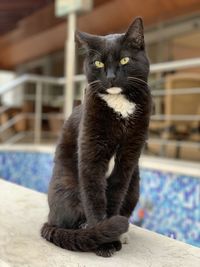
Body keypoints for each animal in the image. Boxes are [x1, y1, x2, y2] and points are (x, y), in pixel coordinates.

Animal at [41, 16, 152, 258]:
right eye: (99, 63)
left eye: (124, 59)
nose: (110, 77)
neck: (120, 106)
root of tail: (49, 219)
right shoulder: (91, 152)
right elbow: (94, 197)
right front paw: (103, 241)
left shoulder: (129, 157)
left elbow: (116, 194)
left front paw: (111, 236)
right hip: (67, 187)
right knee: (68, 219)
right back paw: (86, 230)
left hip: (135, 186)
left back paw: (122, 233)